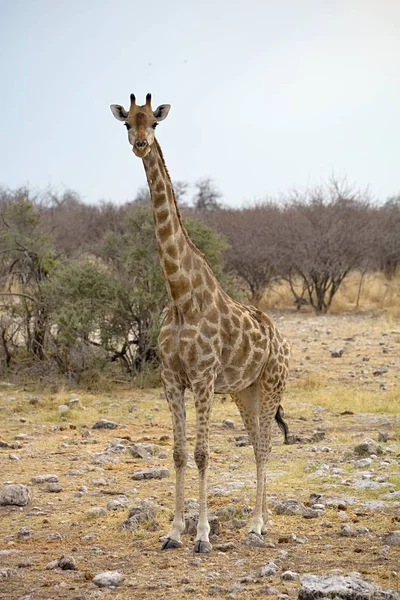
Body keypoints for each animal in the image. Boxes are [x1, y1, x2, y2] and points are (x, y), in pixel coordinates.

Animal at [110, 92, 290, 552]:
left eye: (154, 122)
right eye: (127, 124)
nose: (140, 144)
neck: (180, 294)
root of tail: (281, 339)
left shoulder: (204, 376)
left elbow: (203, 453)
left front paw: (204, 535)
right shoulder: (172, 378)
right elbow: (177, 452)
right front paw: (174, 531)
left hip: (271, 383)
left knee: (265, 446)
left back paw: (256, 525)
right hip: (244, 390)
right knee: (257, 442)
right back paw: (259, 521)